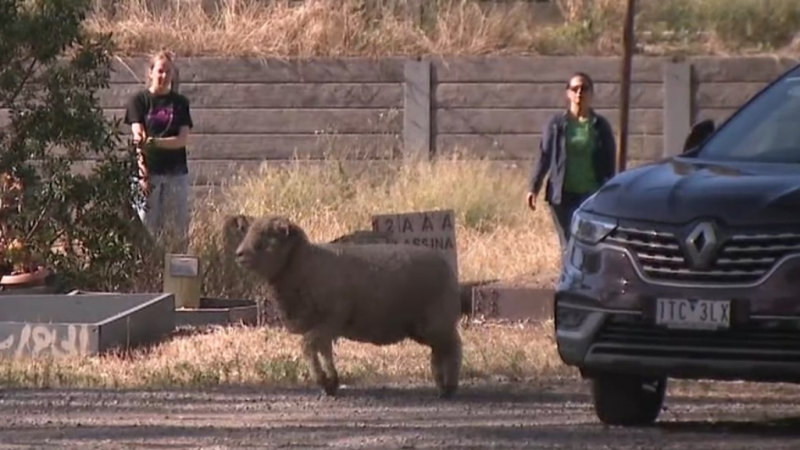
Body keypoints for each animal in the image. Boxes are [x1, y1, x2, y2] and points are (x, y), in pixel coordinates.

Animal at [228, 214, 462, 398]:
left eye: (269, 234)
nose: (239, 254)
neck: (307, 265)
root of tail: (447, 267)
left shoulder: (331, 318)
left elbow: (308, 345)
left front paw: (323, 380)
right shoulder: (322, 325)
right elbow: (323, 350)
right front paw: (331, 382)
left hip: (436, 318)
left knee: (452, 345)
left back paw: (448, 385)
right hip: (424, 325)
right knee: (441, 348)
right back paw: (441, 382)